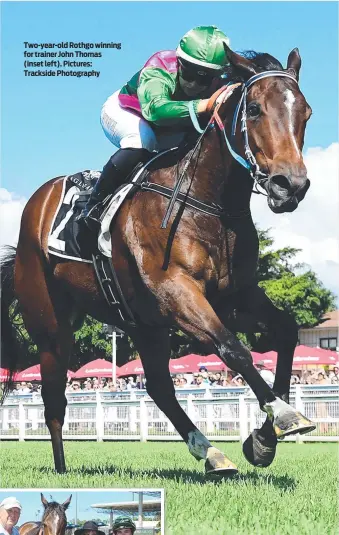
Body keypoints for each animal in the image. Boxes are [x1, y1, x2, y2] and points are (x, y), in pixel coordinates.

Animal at [1, 44, 316, 476]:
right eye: (253, 108)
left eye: (305, 111)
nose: (291, 185)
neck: (208, 202)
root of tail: (38, 203)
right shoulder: (175, 291)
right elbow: (234, 349)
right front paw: (284, 415)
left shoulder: (237, 295)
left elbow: (284, 332)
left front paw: (263, 441)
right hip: (51, 326)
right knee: (54, 399)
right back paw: (62, 471)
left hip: (141, 322)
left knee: (159, 387)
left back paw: (212, 452)